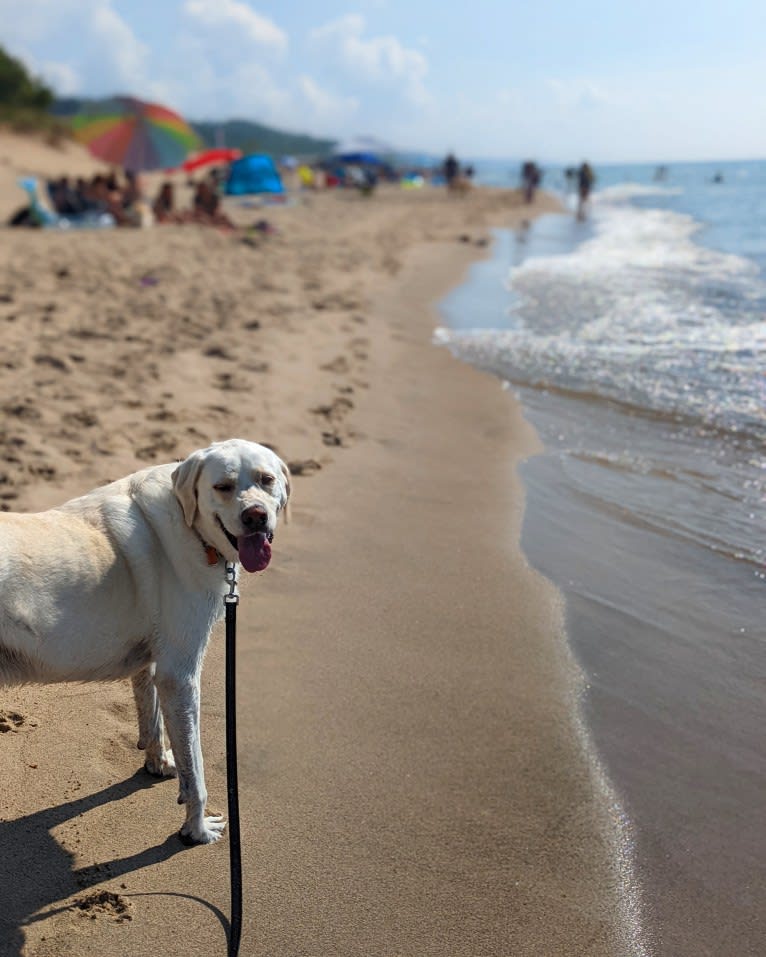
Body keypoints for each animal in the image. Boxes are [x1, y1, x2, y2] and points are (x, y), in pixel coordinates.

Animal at [0, 440, 292, 844]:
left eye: (267, 480)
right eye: (223, 487)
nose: (255, 517)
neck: (192, 527)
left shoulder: (152, 662)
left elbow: (152, 719)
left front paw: (159, 763)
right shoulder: (180, 676)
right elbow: (196, 769)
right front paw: (196, 829)